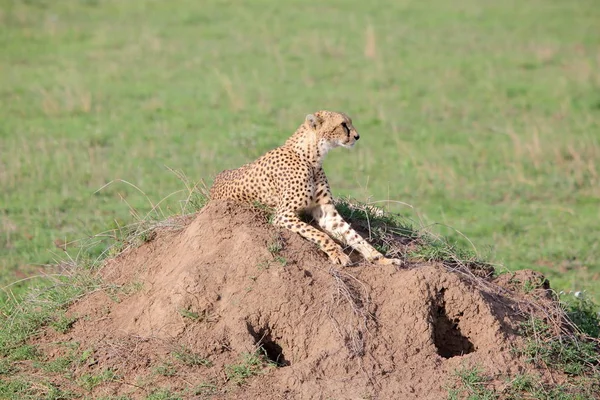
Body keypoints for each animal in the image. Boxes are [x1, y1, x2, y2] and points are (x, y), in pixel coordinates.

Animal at [209, 110, 400, 266]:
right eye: (343, 124)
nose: (357, 136)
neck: (312, 157)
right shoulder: (282, 215)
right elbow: (319, 234)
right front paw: (337, 254)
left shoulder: (327, 214)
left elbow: (353, 235)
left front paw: (380, 258)